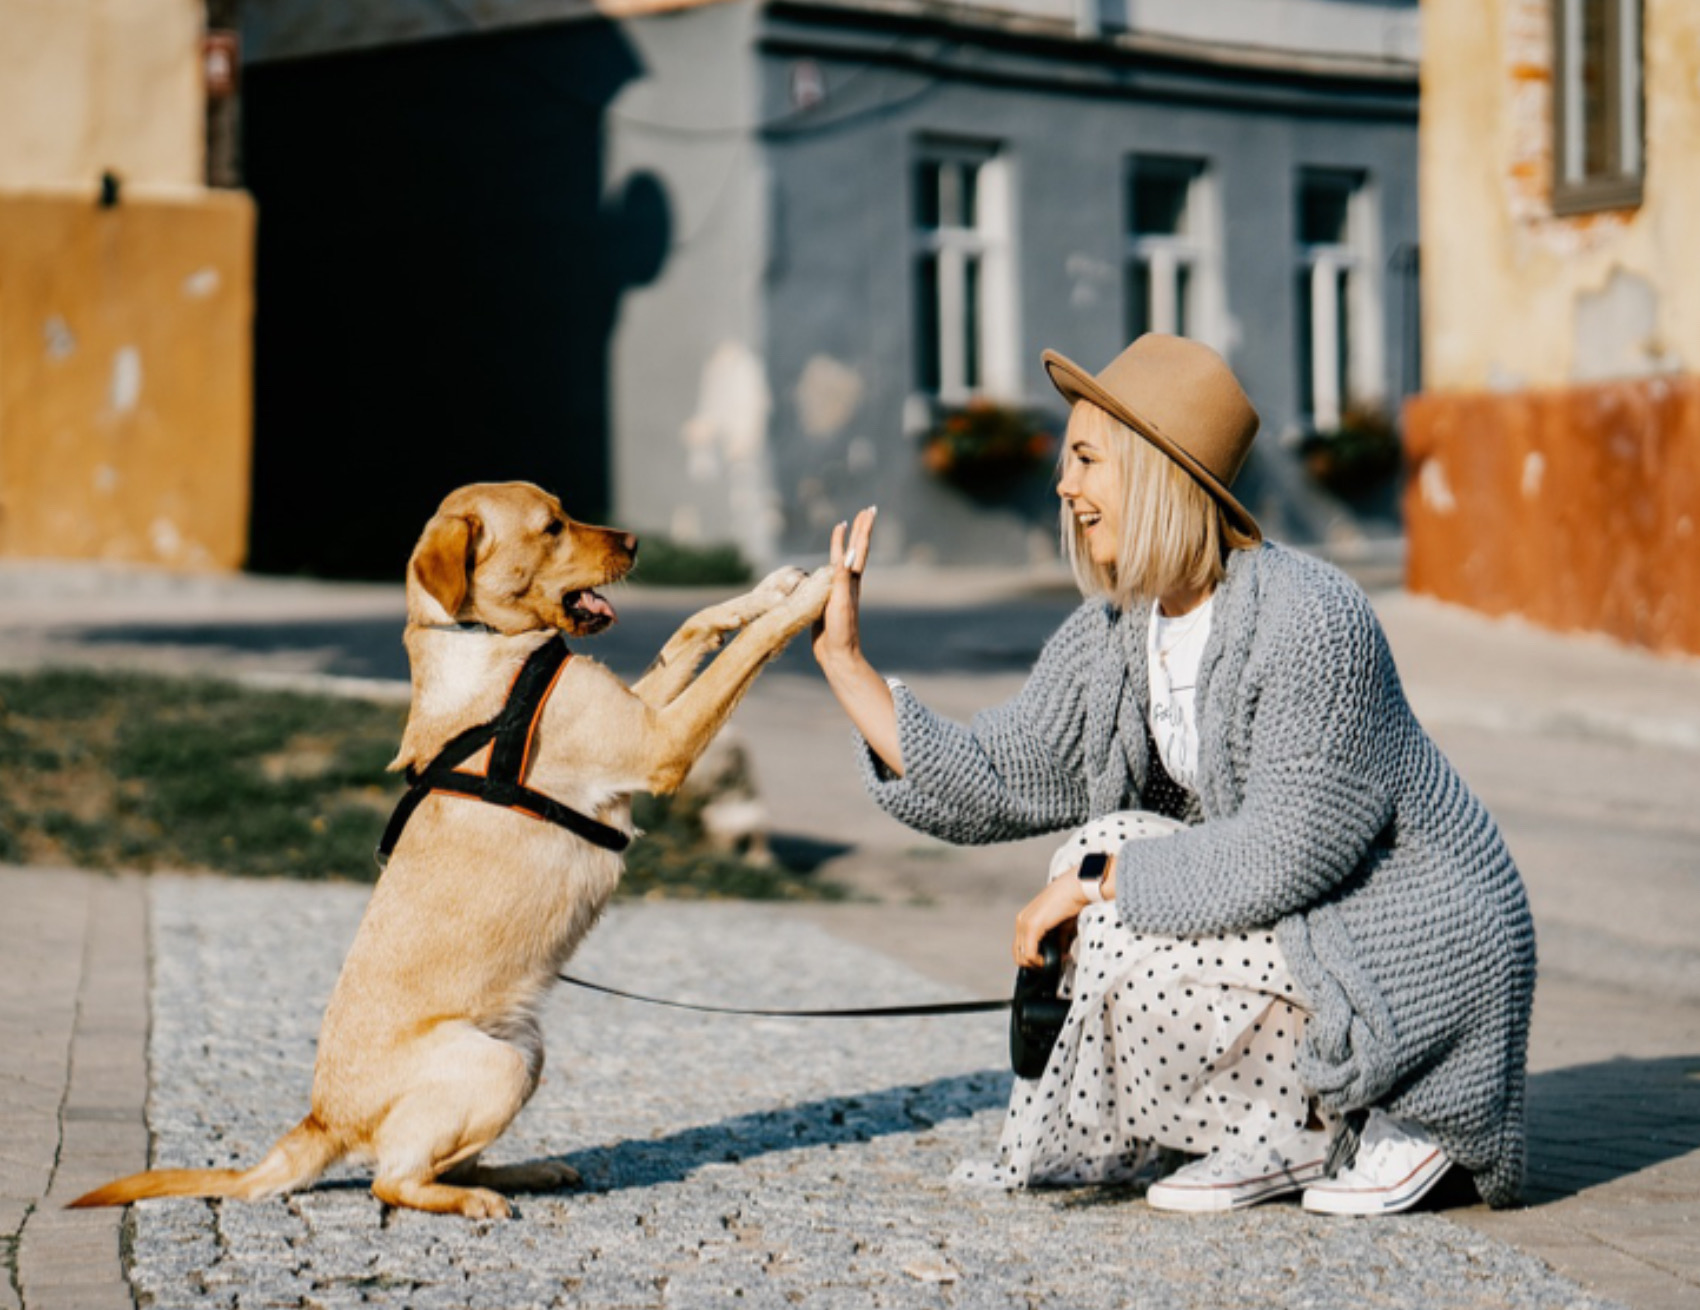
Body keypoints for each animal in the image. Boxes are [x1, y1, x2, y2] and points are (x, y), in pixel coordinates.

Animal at [73, 482, 836, 1216]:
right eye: (551, 527)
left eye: (565, 511)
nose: (636, 541)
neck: (484, 643)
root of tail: (321, 1120)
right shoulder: (659, 743)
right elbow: (744, 652)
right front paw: (818, 593)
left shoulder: (642, 711)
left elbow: (694, 627)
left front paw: (773, 587)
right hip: (496, 1067)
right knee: (392, 1180)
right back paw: (474, 1199)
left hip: (526, 1051)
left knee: (441, 1160)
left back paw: (525, 1172)